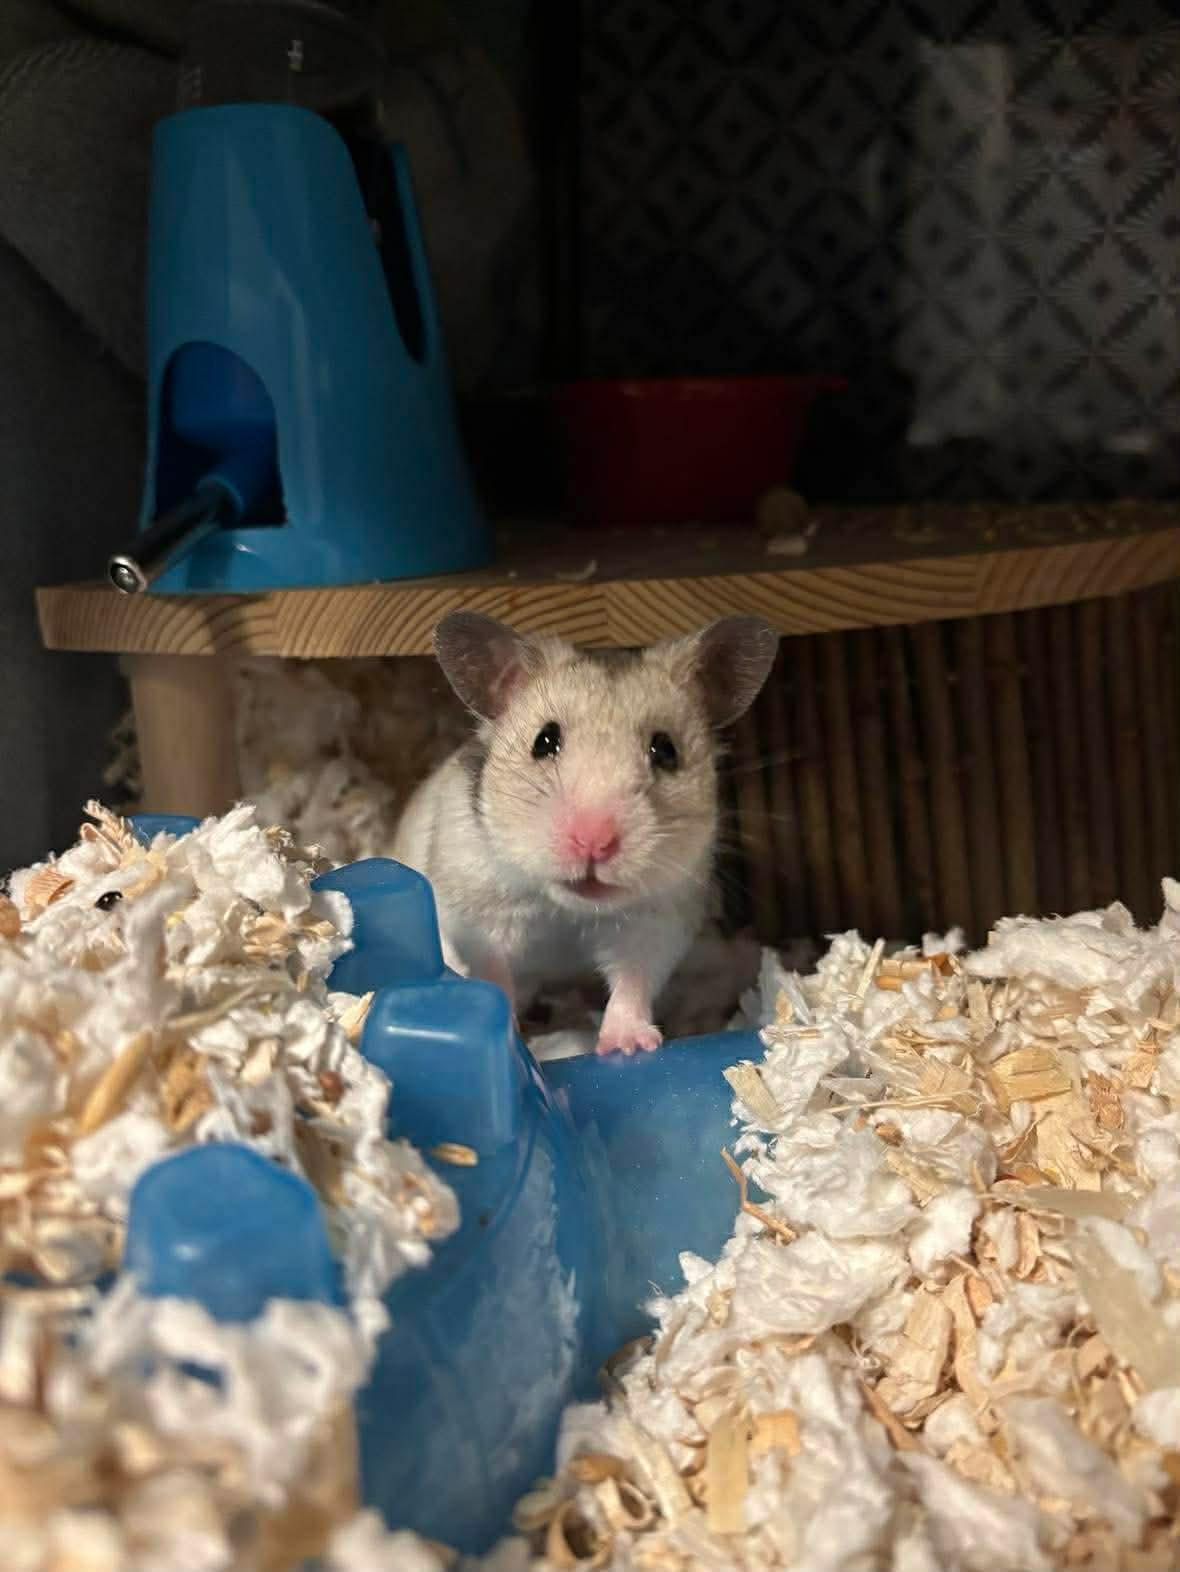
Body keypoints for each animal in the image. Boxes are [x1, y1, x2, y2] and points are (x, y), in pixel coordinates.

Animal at [392, 612, 778, 1055]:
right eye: (544, 741)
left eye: (666, 750)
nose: (594, 842)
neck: (568, 909)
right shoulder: (480, 911)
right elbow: (494, 971)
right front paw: (514, 1034)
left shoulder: (659, 917)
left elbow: (634, 979)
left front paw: (627, 1046)